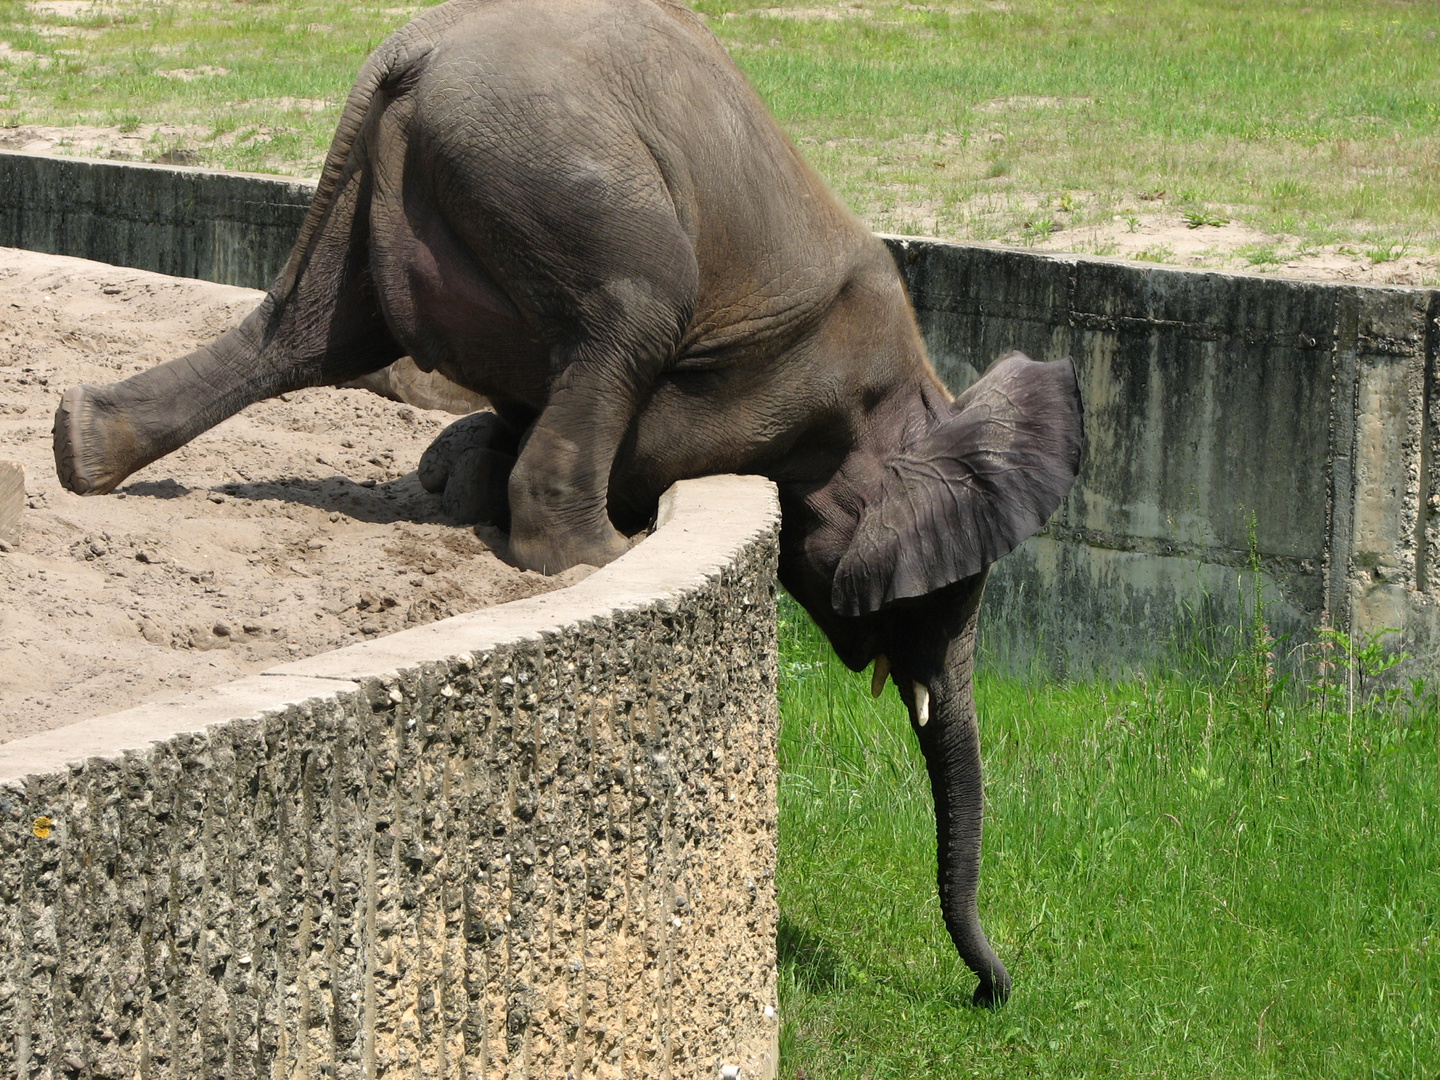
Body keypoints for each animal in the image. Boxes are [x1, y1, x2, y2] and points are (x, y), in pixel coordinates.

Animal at [50, 0, 1082, 1008]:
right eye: (945, 593)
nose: (990, 994)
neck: (914, 393)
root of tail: (413, 47)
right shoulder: (772, 387)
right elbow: (643, 440)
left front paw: (451, 474)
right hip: (560, 184)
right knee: (630, 314)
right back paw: (603, 554)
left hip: (398, 187)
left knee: (302, 336)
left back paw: (82, 446)